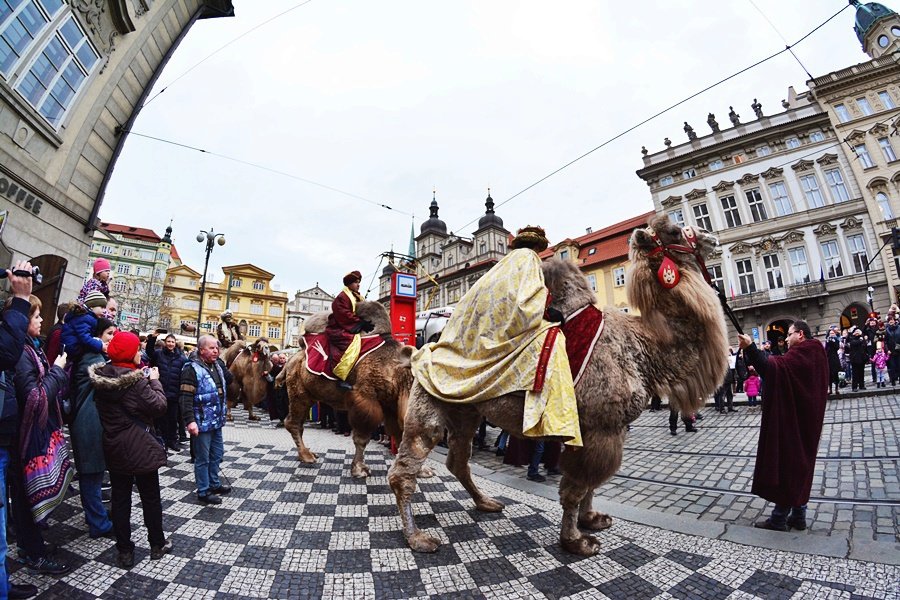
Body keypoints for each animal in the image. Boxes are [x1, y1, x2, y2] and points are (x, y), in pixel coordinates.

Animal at [280, 302, 416, 480]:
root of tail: (290, 360)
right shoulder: (365, 398)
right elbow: (362, 437)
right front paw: (359, 470)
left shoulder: (390, 403)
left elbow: (400, 433)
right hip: (298, 394)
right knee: (293, 422)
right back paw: (307, 456)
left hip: (308, 396)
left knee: (299, 422)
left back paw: (308, 454)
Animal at [390, 213, 728, 556]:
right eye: (674, 230)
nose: (709, 236)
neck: (642, 344)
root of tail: (418, 352)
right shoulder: (600, 426)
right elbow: (576, 486)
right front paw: (576, 541)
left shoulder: (609, 429)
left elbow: (591, 483)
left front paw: (592, 520)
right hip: (427, 409)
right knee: (405, 468)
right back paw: (417, 537)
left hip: (465, 412)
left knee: (458, 459)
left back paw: (485, 502)